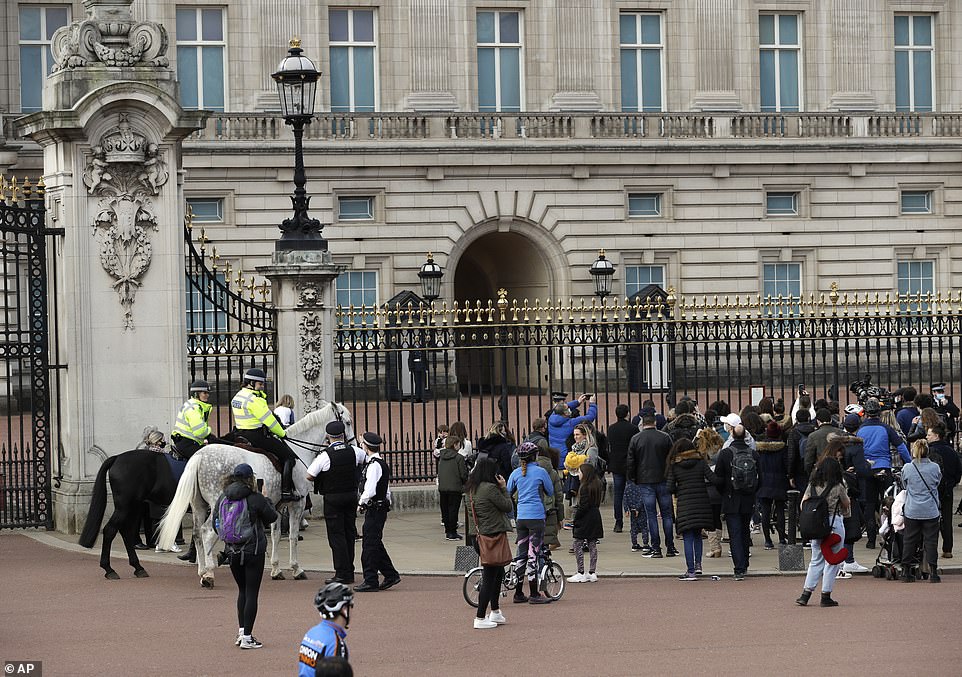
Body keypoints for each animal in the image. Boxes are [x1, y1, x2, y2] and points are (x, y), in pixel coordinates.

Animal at [78, 452, 179, 580]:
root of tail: (117, 457)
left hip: (134, 506)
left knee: (126, 531)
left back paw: (137, 567)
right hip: (126, 505)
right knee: (111, 530)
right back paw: (109, 569)